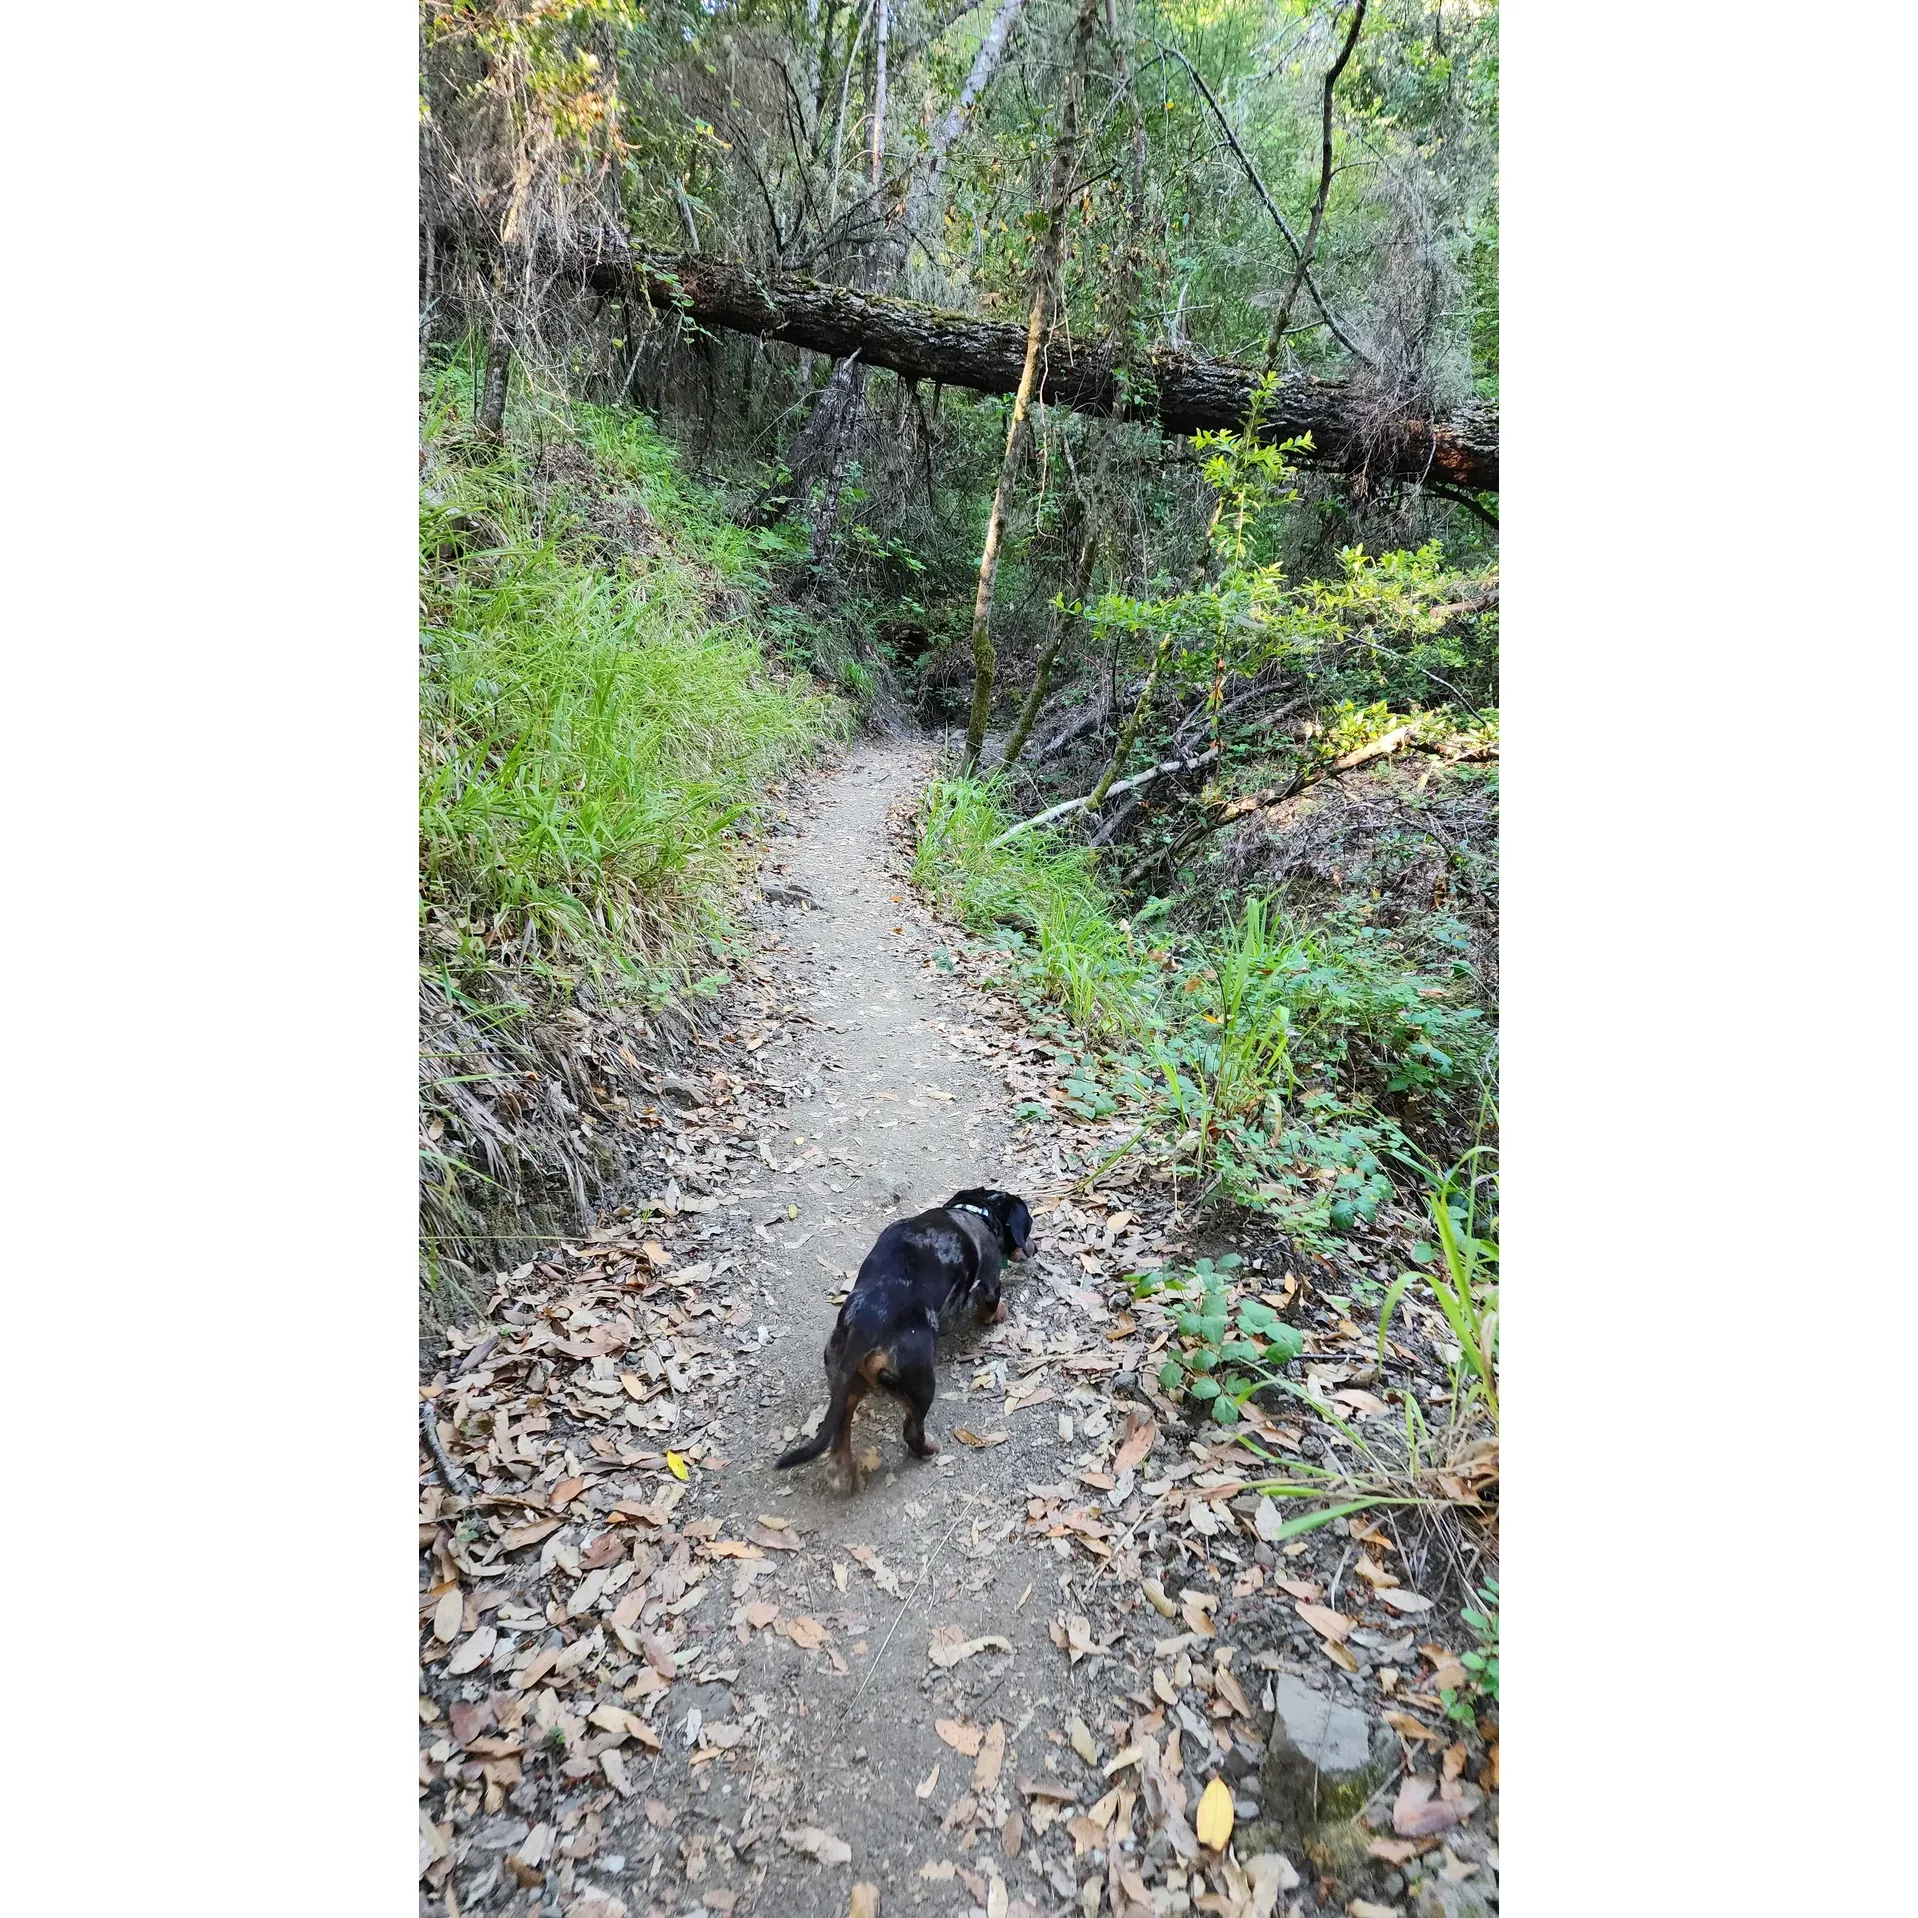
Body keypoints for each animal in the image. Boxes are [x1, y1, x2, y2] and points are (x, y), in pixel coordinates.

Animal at [771, 1189, 1035, 1488]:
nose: (1034, 1248)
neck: (975, 1211)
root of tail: (863, 1327)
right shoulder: (990, 1282)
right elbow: (991, 1306)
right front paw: (999, 1313)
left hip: (843, 1383)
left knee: (840, 1429)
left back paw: (841, 1473)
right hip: (921, 1383)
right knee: (911, 1430)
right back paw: (928, 1449)